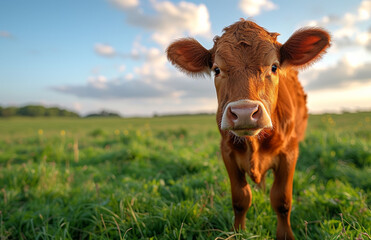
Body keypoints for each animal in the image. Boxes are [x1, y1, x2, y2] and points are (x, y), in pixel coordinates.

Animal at [167, 19, 330, 239]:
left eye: (274, 67)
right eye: (216, 69)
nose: (244, 112)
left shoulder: (290, 152)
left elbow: (282, 200)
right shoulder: (227, 153)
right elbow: (240, 199)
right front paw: (238, 232)